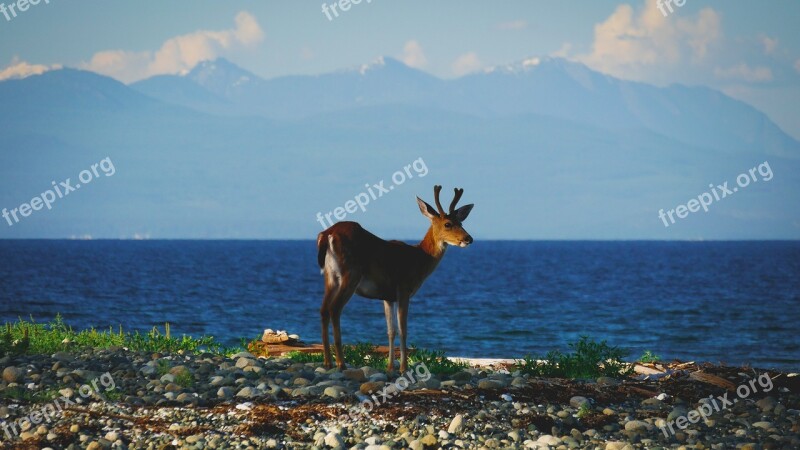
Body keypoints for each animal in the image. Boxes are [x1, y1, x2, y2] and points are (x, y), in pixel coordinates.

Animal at [316, 185, 472, 372]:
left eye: (461, 223)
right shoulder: (404, 289)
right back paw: (341, 362)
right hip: (350, 274)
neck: (420, 259)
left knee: (323, 309)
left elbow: (391, 331)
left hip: (330, 276)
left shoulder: (387, 297)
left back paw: (327, 362)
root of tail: (327, 234)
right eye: (448, 224)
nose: (468, 239)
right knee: (334, 309)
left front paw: (390, 366)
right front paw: (404, 367)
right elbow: (403, 329)